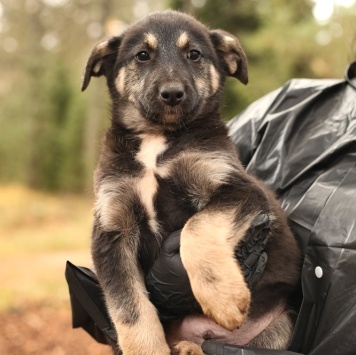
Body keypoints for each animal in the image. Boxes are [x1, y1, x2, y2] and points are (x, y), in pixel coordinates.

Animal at [82, 11, 302, 355]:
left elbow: (197, 227)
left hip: (280, 326)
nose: (172, 93)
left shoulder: (238, 188)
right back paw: (185, 346)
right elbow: (129, 308)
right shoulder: (112, 229)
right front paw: (146, 348)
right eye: (142, 55)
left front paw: (223, 296)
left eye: (194, 55)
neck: (157, 138)